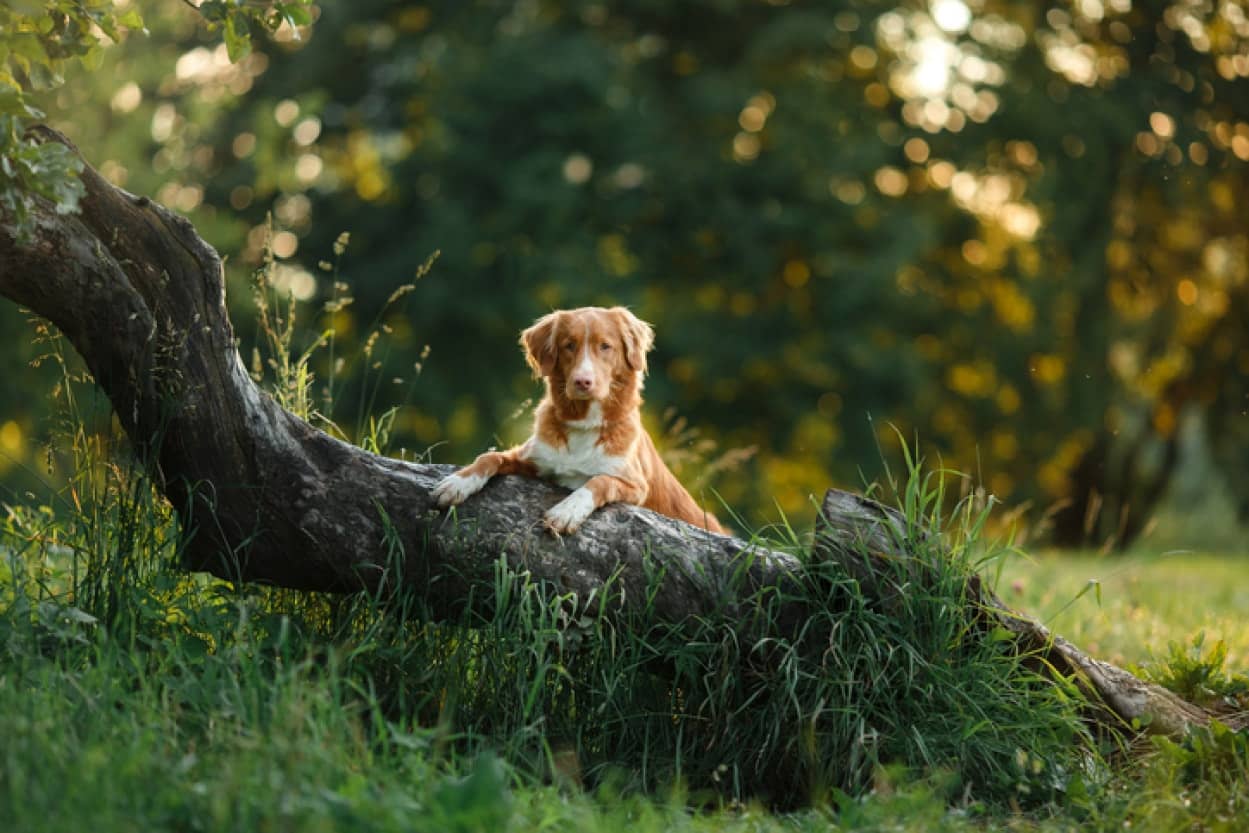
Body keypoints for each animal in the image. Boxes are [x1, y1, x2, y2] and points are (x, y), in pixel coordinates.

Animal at [432, 305, 729, 534]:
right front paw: (458, 482)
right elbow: (490, 457)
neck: (584, 423)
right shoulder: (534, 459)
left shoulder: (634, 485)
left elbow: (597, 482)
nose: (583, 382)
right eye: (569, 345)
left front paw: (567, 511)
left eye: (605, 346)